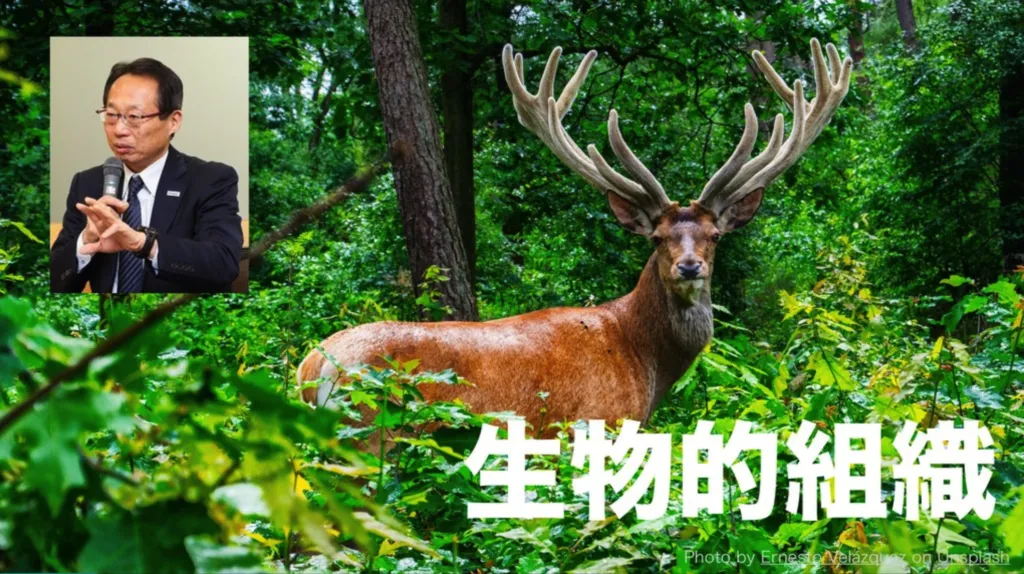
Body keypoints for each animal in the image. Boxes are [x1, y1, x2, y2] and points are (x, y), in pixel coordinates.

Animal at [297, 39, 852, 438]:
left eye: (715, 235)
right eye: (656, 237)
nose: (689, 266)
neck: (643, 359)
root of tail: (309, 371)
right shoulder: (598, 422)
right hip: (369, 433)